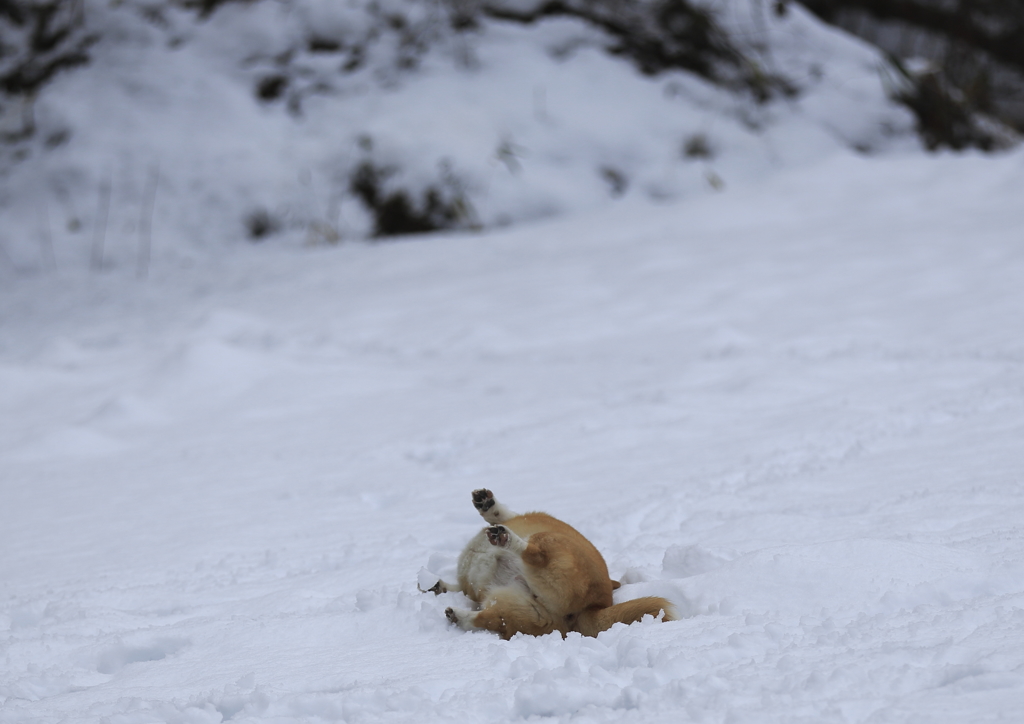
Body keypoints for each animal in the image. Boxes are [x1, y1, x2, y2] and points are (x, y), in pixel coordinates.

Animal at [419, 493, 675, 639]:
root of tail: (595, 605)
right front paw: (435, 586)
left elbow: (498, 514)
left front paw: (487, 504)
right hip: (516, 605)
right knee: (490, 618)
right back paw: (457, 615)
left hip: (548, 541)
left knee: (533, 554)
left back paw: (505, 540)